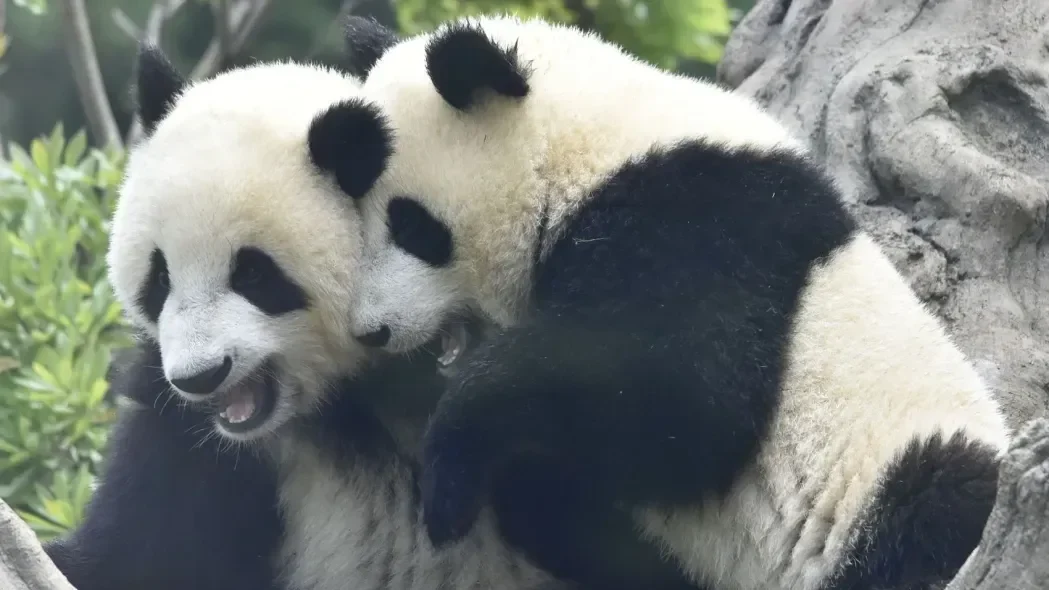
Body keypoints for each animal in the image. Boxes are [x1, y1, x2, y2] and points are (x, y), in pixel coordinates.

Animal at [44, 43, 672, 590]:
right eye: (160, 279)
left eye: (253, 276)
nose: (200, 377)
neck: (336, 400)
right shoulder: (191, 440)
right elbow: (130, 553)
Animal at [333, 14, 1012, 590]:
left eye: (410, 225)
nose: (371, 330)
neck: (584, 139)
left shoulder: (707, 216)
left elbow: (690, 395)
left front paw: (450, 472)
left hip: (899, 477)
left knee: (928, 508)